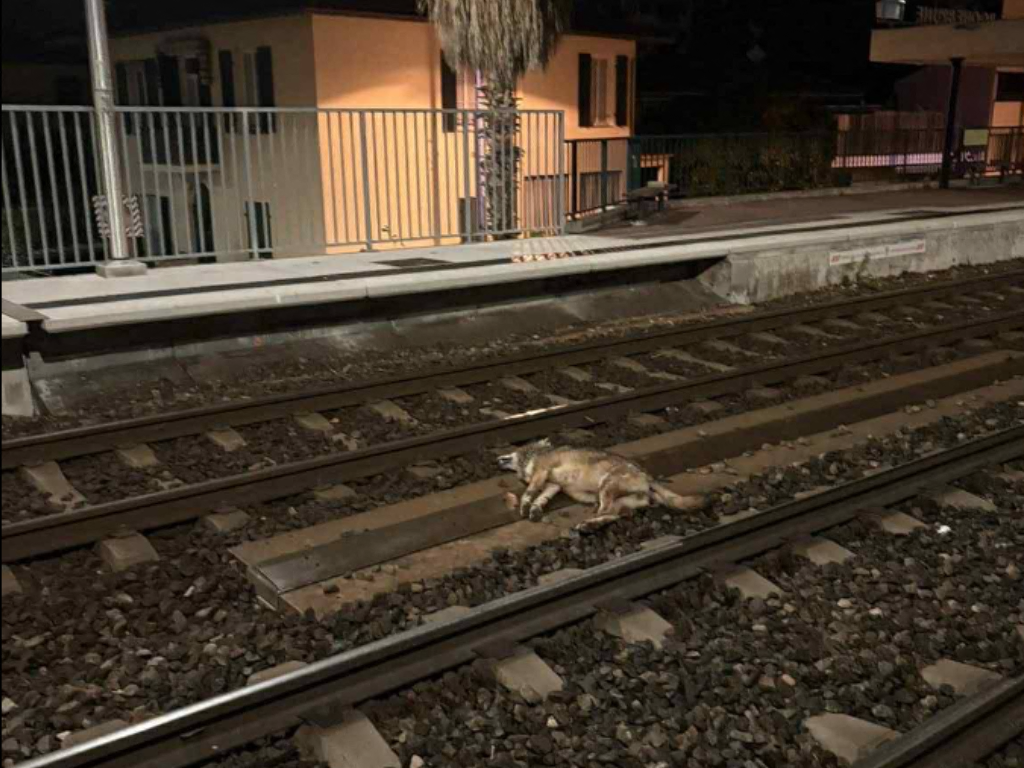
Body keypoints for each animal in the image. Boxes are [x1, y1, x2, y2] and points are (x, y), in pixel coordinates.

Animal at [498, 439, 704, 531]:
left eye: (513, 450)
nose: (497, 459)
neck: (536, 454)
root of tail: (648, 476)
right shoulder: (552, 485)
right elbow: (540, 499)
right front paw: (535, 510)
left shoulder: (542, 473)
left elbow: (529, 493)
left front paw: (525, 507)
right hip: (615, 500)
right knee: (615, 516)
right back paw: (592, 525)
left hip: (605, 488)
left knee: (605, 512)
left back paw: (588, 524)